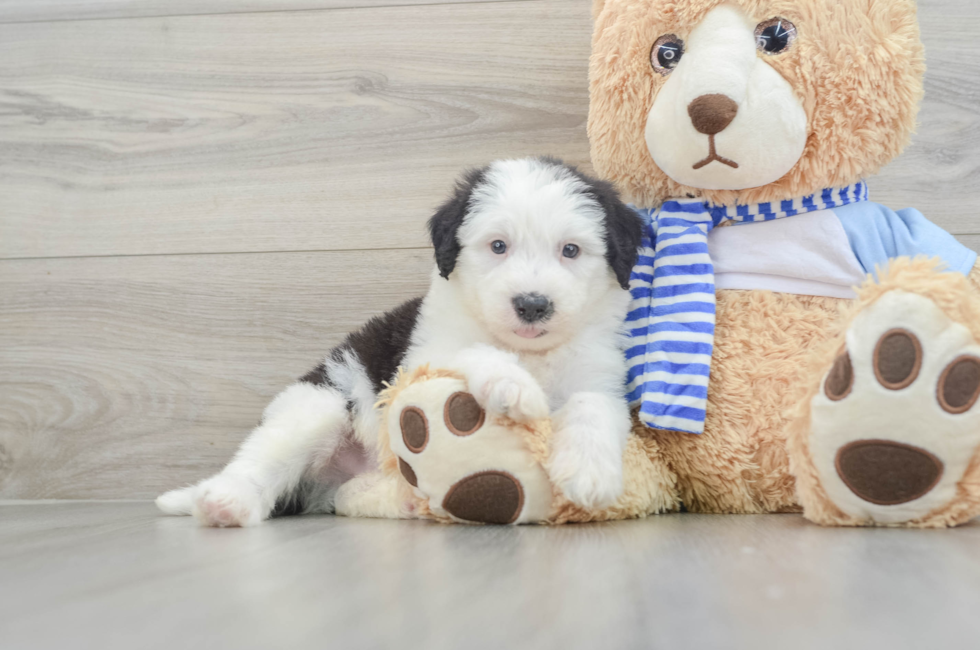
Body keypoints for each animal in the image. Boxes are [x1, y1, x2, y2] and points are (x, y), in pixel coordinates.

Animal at [155, 157, 644, 528]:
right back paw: (225, 502)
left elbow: (593, 405)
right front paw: (513, 385)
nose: (532, 304)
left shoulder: (599, 373)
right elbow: (471, 350)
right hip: (317, 406)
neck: (530, 351)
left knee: (349, 496)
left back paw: (403, 499)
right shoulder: (424, 354)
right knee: (259, 459)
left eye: (571, 250)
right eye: (498, 246)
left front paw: (590, 472)